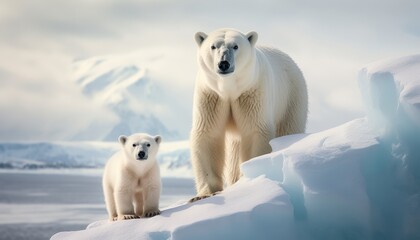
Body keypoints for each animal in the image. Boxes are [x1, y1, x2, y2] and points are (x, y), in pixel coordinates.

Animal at [191, 28, 308, 201]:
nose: (223, 63)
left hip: (291, 98)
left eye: (235, 46)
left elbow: (255, 131)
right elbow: (208, 134)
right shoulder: (211, 96)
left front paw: (249, 177)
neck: (229, 89)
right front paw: (204, 194)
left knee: (288, 128)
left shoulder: (252, 93)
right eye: (213, 46)